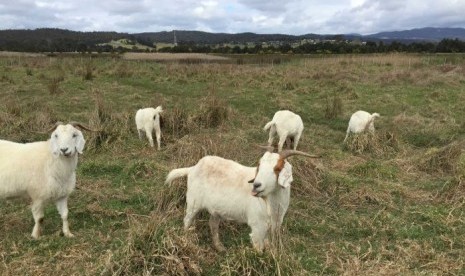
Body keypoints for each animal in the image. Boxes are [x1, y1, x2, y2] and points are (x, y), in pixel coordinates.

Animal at [163, 149, 320, 252]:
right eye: (259, 167)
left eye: (277, 168)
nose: (256, 185)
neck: (272, 204)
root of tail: (193, 168)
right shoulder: (257, 228)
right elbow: (259, 249)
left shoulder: (272, 226)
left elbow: (268, 245)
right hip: (193, 202)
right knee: (187, 220)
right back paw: (185, 239)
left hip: (216, 210)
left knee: (213, 224)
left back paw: (220, 247)